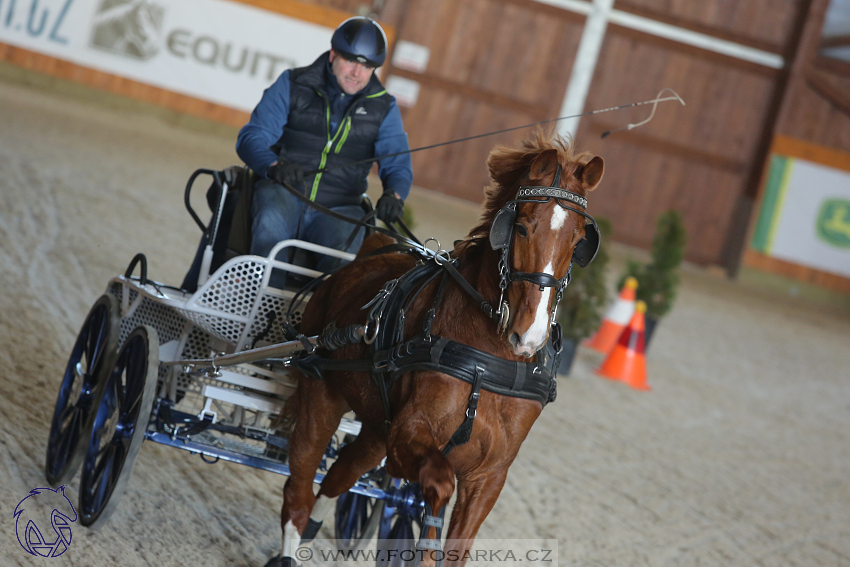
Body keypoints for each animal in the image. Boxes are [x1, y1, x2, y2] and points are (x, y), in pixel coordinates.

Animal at [272, 134, 604, 567]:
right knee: (299, 486)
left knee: (339, 475)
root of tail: (367, 252)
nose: (528, 336)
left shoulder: (489, 473)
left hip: (376, 428)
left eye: (579, 240)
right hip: (321, 395)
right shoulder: (411, 435)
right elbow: (438, 487)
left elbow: (458, 546)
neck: (489, 362)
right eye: (521, 227)